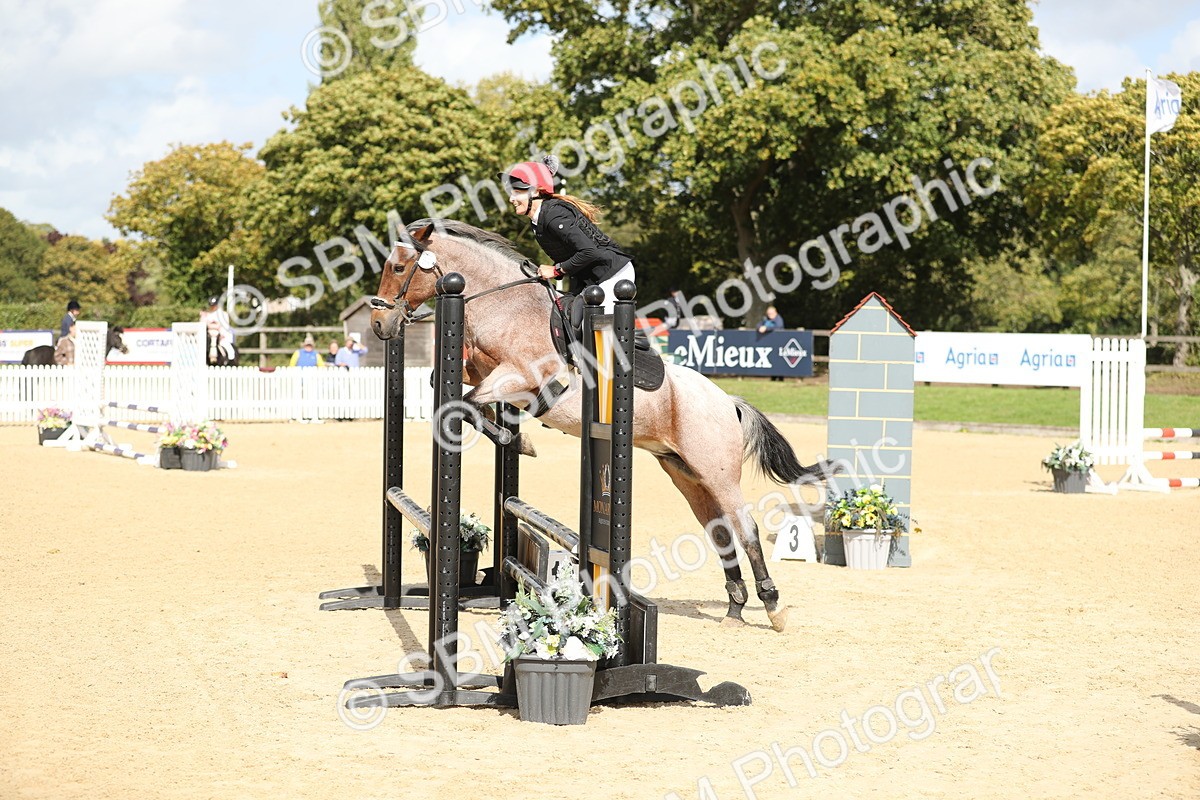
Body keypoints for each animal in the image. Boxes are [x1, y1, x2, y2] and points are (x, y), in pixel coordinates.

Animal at [369, 220, 837, 632]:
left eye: (398, 268)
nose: (379, 325)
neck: (504, 306)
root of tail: (727, 402)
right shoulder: (480, 370)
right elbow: (448, 389)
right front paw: (513, 437)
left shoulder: (521, 376)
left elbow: (464, 405)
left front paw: (514, 440)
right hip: (687, 474)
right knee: (721, 531)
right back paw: (735, 609)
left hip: (718, 472)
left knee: (747, 528)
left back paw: (772, 607)